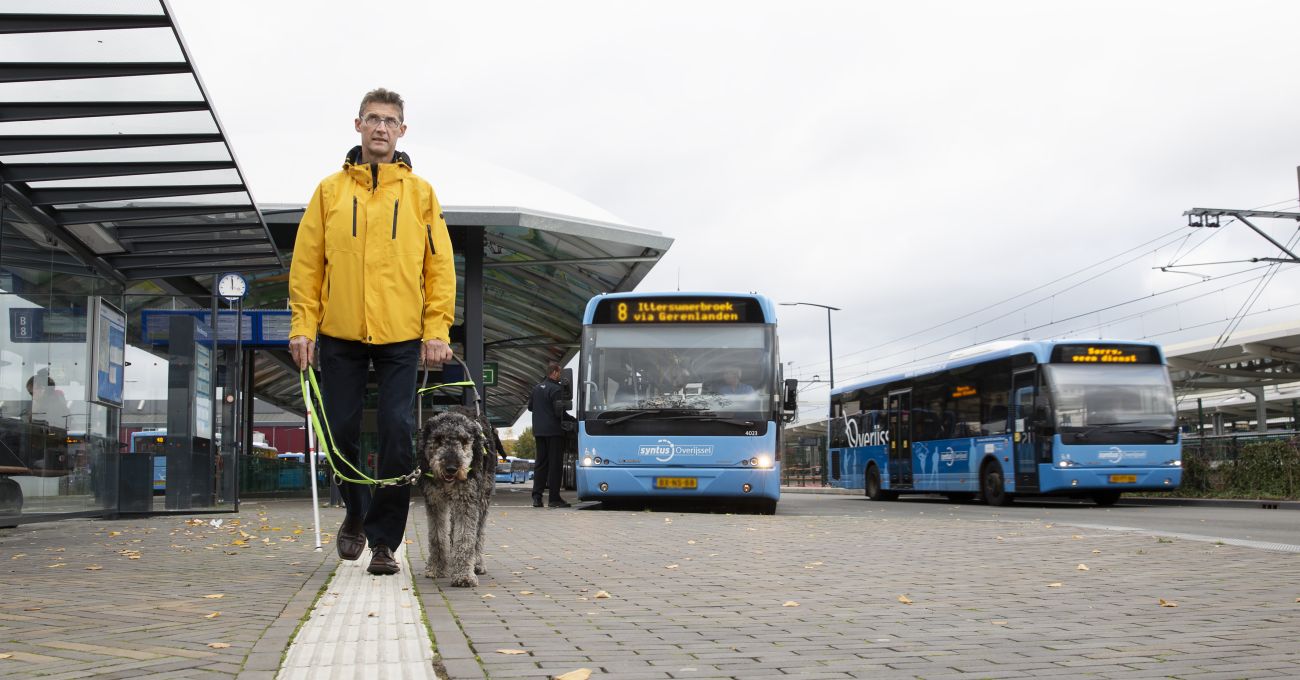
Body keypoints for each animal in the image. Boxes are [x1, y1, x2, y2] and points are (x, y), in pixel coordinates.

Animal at [418, 408, 493, 587]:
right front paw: (437, 568)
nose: (451, 468)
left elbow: (466, 538)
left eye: (464, 440)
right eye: (438, 439)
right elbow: (437, 537)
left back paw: (477, 563)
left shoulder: (468, 500)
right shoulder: (434, 501)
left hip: (483, 497)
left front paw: (464, 576)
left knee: (479, 533)